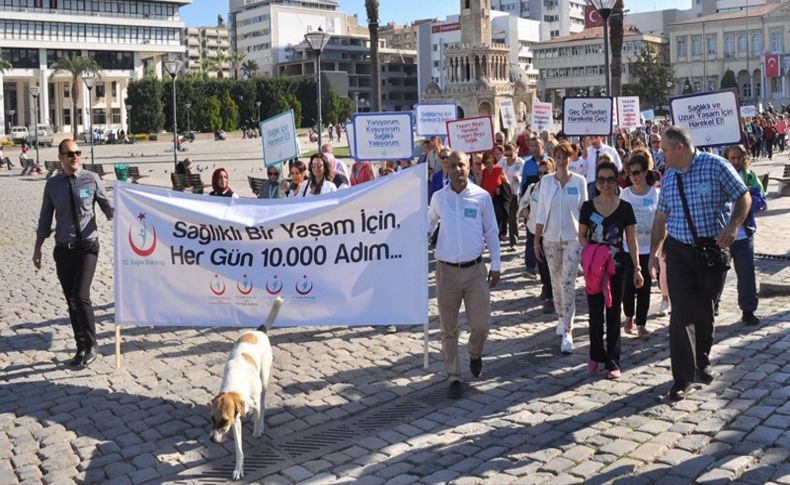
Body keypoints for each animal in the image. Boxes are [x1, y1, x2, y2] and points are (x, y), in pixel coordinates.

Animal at [212, 296, 284, 478]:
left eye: (224, 421)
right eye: (212, 418)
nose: (212, 440)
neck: (234, 386)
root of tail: (259, 331)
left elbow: (259, 414)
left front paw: (258, 429)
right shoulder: (236, 420)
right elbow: (239, 450)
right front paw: (239, 468)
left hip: (264, 379)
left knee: (263, 404)